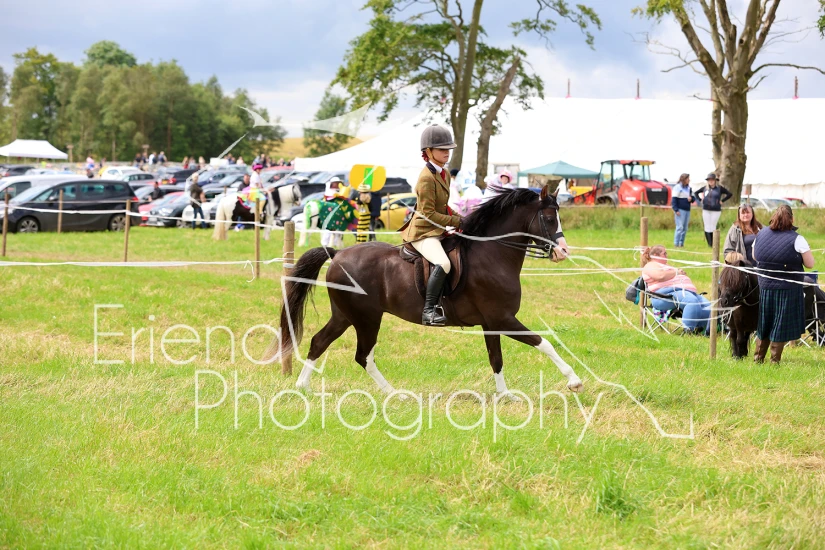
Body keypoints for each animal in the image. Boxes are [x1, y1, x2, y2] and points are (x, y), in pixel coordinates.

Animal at [269, 186, 583, 401]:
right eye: (548, 218)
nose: (563, 252)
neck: (492, 254)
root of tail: (337, 254)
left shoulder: (491, 323)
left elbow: (496, 359)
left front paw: (505, 395)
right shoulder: (503, 319)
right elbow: (545, 343)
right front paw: (574, 380)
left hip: (345, 315)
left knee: (320, 342)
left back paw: (304, 387)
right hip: (366, 318)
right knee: (362, 355)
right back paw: (395, 394)